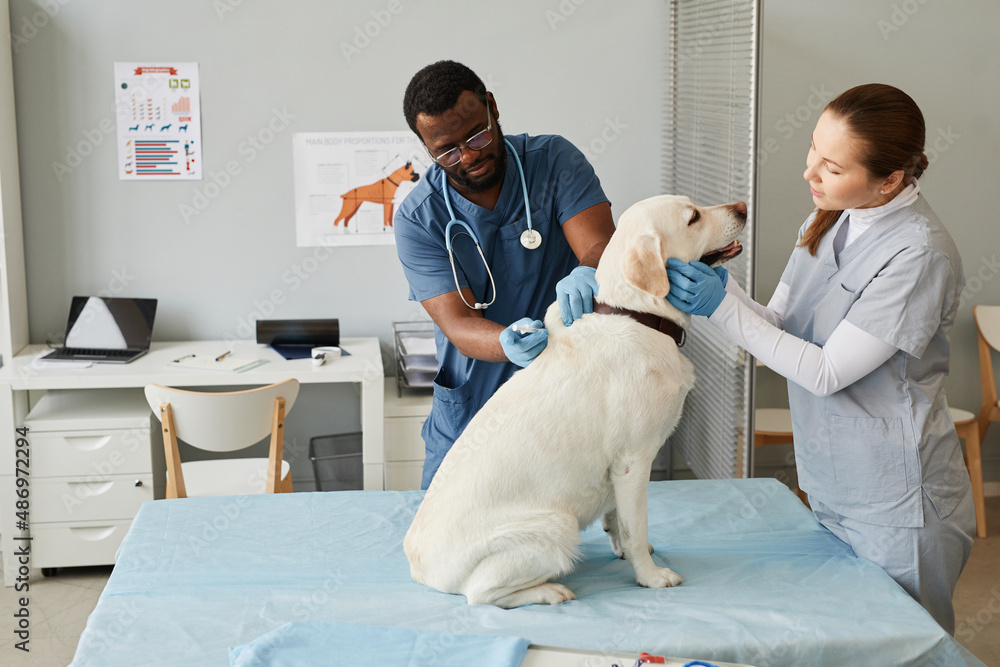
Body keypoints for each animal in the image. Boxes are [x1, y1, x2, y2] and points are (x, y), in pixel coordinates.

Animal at [404, 194, 744, 612]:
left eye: (694, 205)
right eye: (693, 217)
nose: (743, 208)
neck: (638, 315)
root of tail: (420, 568)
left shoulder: (618, 472)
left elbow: (619, 521)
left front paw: (625, 551)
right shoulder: (633, 462)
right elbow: (636, 526)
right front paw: (649, 576)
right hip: (557, 526)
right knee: (481, 595)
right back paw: (550, 591)